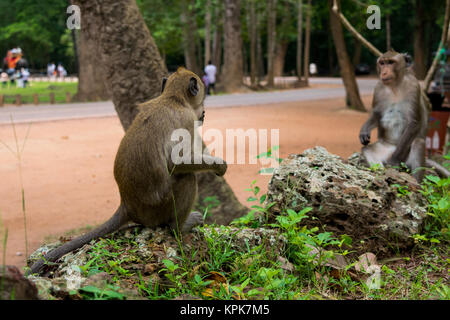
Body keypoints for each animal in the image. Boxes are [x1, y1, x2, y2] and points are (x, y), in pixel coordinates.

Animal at [28, 68, 227, 276]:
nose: (204, 113)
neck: (173, 98)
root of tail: (127, 204)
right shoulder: (187, 119)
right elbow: (176, 162)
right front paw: (219, 165)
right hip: (158, 210)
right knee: (187, 178)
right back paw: (178, 228)